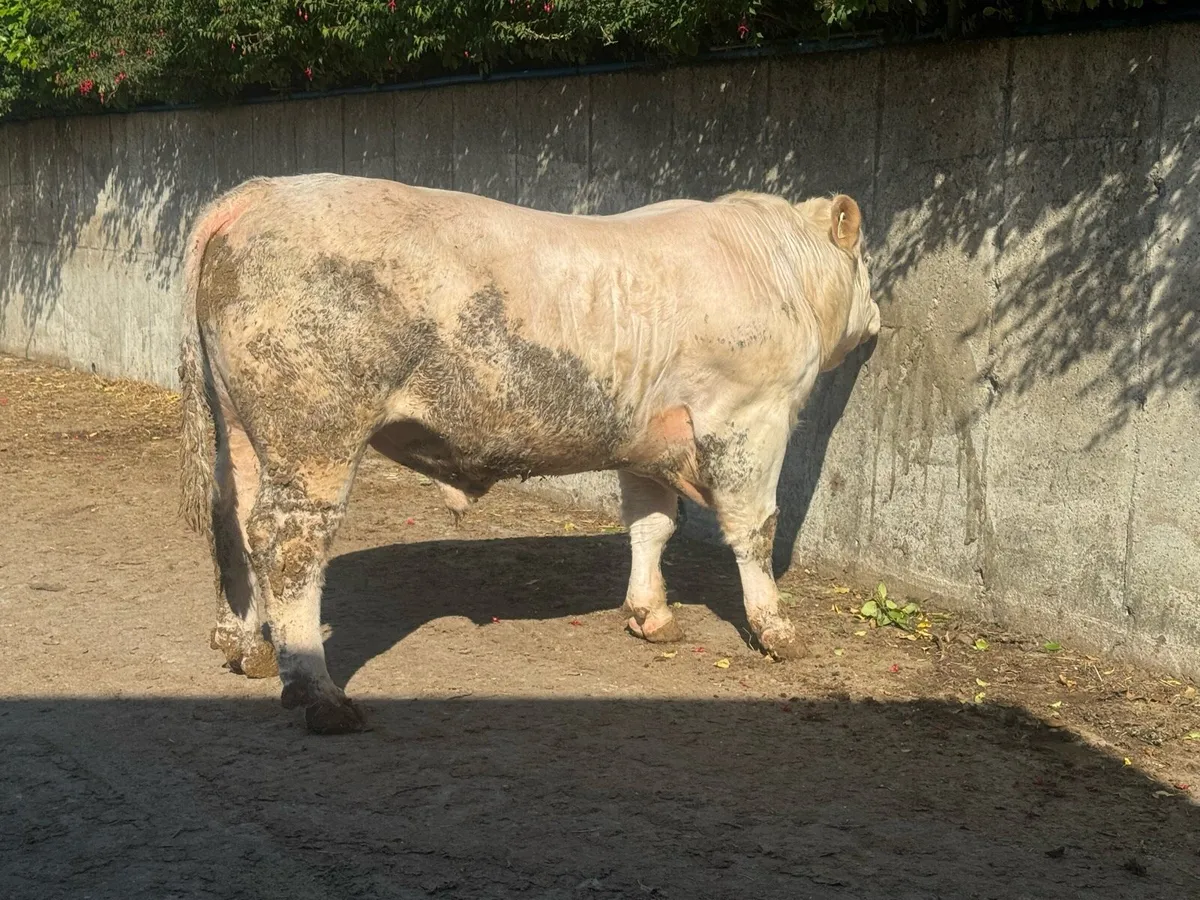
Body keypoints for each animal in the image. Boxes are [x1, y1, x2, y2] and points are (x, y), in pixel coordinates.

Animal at [179, 174, 880, 734]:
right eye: (867, 260)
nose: (876, 317)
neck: (776, 266)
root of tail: (259, 192)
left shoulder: (645, 438)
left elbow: (651, 525)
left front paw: (650, 614)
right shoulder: (749, 416)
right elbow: (756, 529)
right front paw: (777, 631)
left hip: (238, 426)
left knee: (231, 519)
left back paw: (246, 648)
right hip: (315, 430)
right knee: (289, 543)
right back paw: (319, 695)